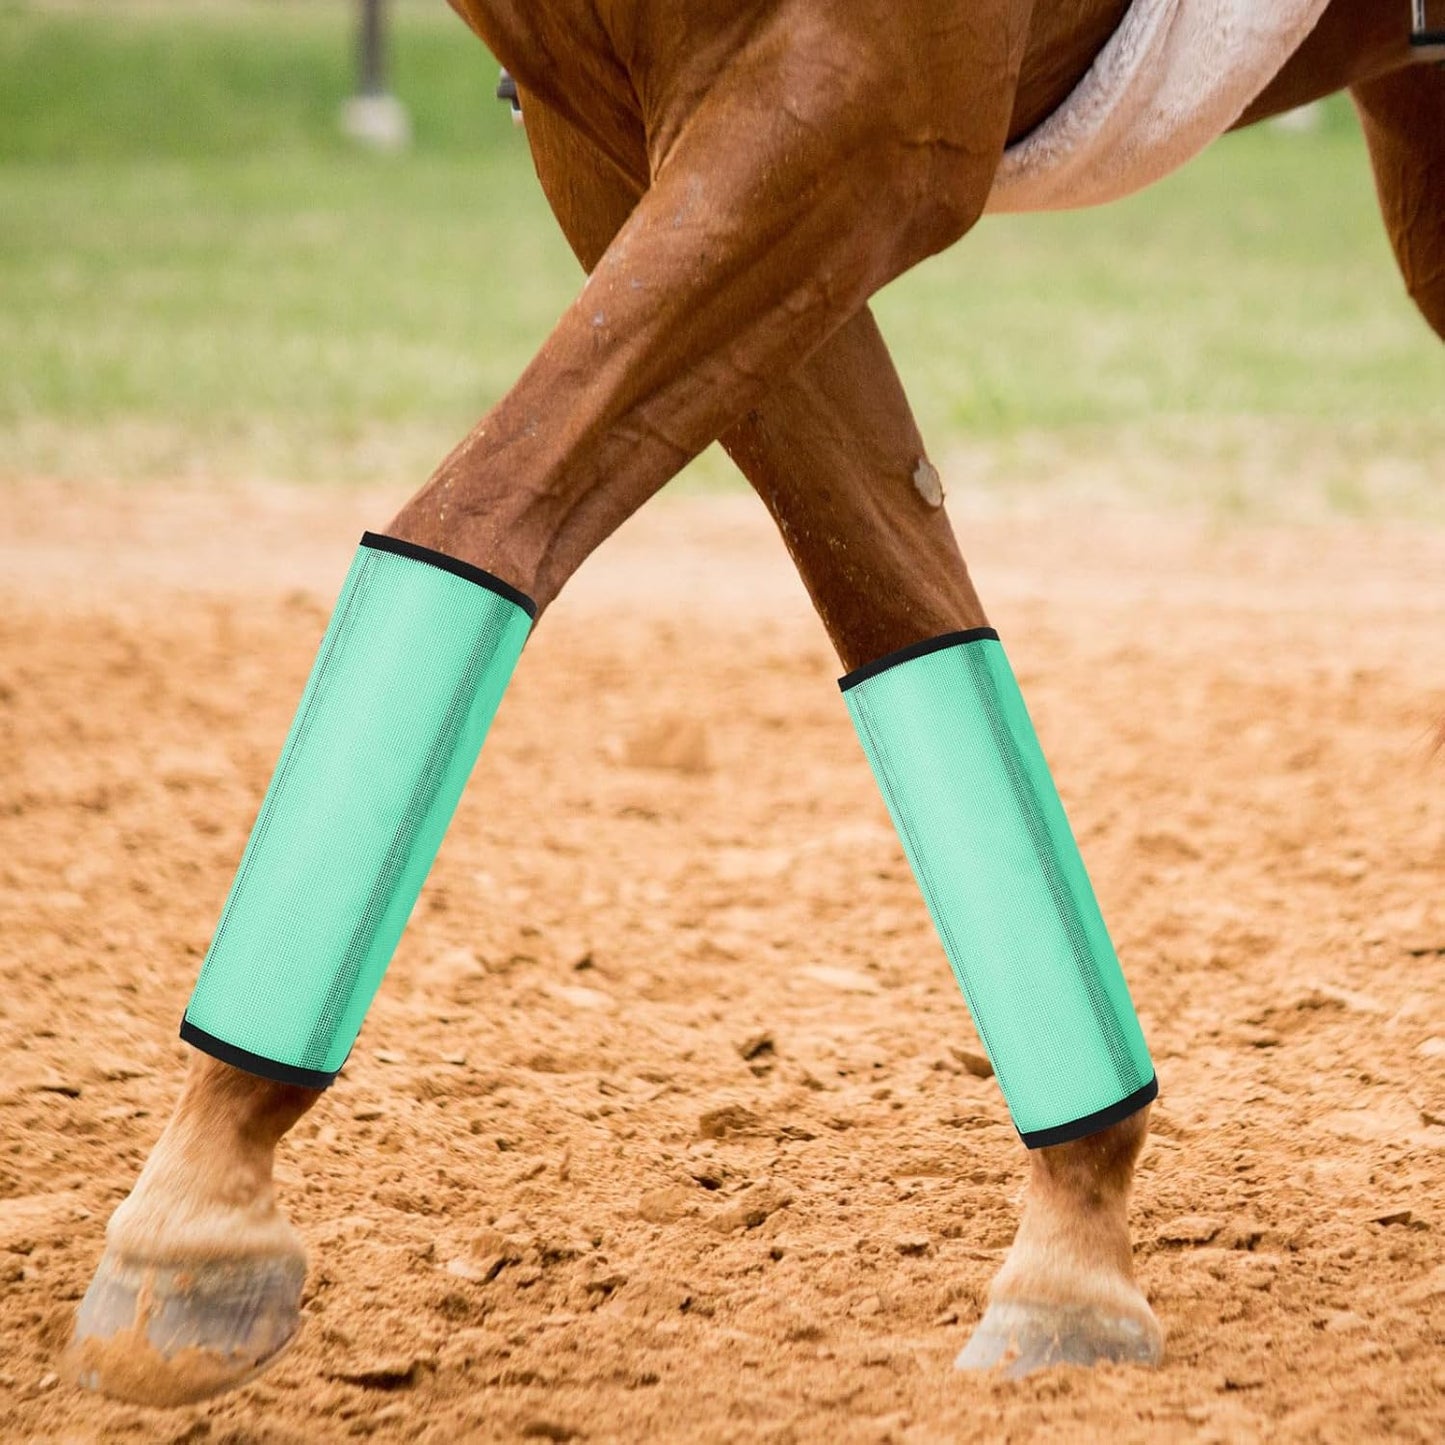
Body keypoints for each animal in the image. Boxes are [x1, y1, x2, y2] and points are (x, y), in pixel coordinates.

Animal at [66, 0, 1444, 1405]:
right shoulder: (616, 144)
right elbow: (894, 605)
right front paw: (1074, 1243)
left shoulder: (856, 114)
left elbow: (481, 516)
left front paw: (200, 1213)